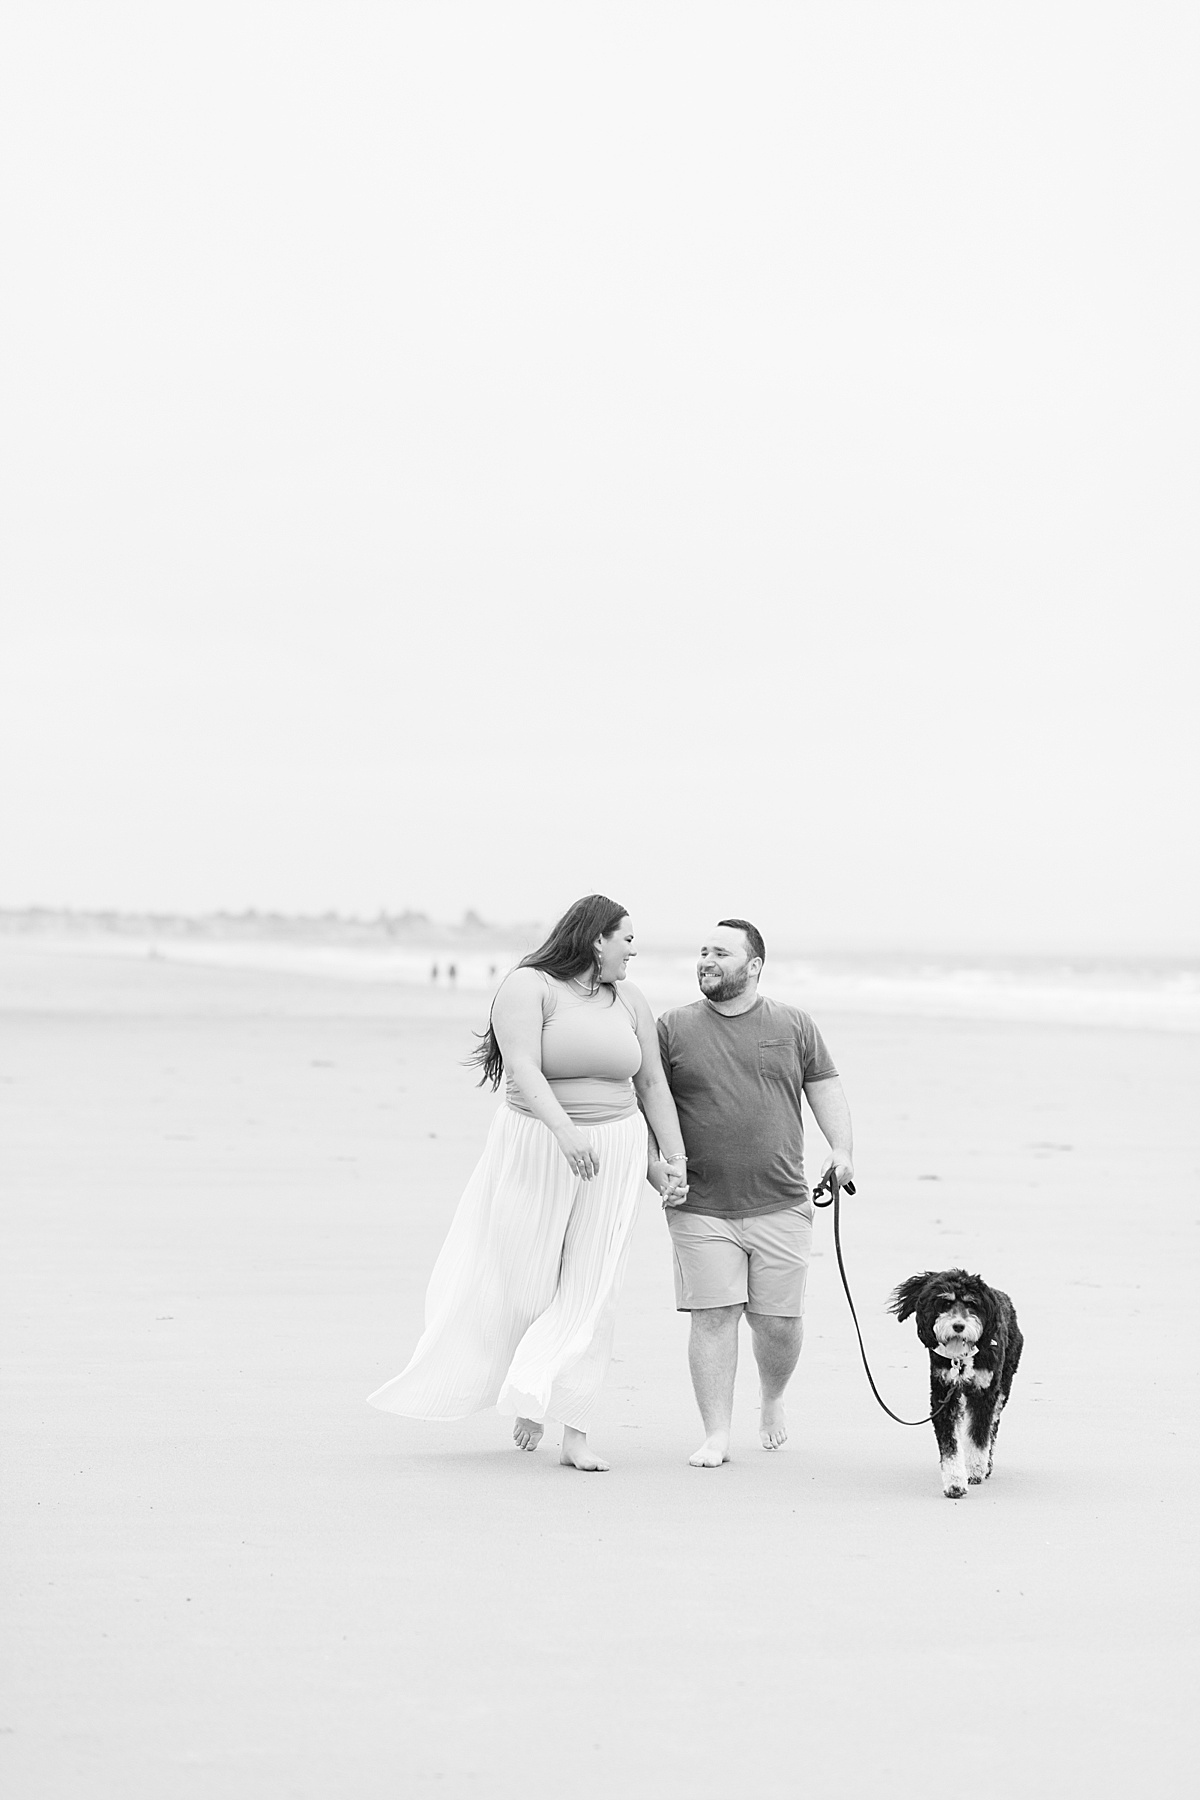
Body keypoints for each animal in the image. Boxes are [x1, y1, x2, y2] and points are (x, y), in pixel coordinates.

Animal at [892, 1267, 1021, 1504]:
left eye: (971, 1303)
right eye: (945, 1303)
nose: (958, 1326)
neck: (961, 1358)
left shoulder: (984, 1394)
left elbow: (979, 1436)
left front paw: (975, 1469)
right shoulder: (944, 1396)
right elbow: (950, 1444)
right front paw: (955, 1483)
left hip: (1003, 1385)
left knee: (993, 1428)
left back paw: (987, 1465)